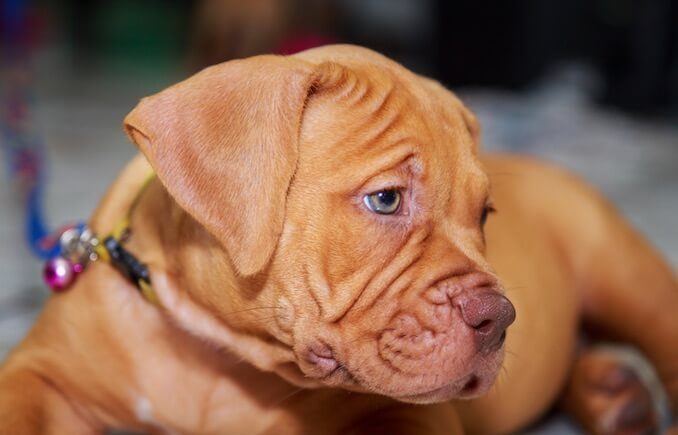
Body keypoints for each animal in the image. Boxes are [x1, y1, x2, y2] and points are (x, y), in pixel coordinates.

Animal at [1, 45, 678, 435]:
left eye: (485, 214)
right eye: (387, 200)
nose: (501, 318)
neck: (221, 360)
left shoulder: (406, 415)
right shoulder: (39, 374)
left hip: (626, 272)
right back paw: (614, 396)